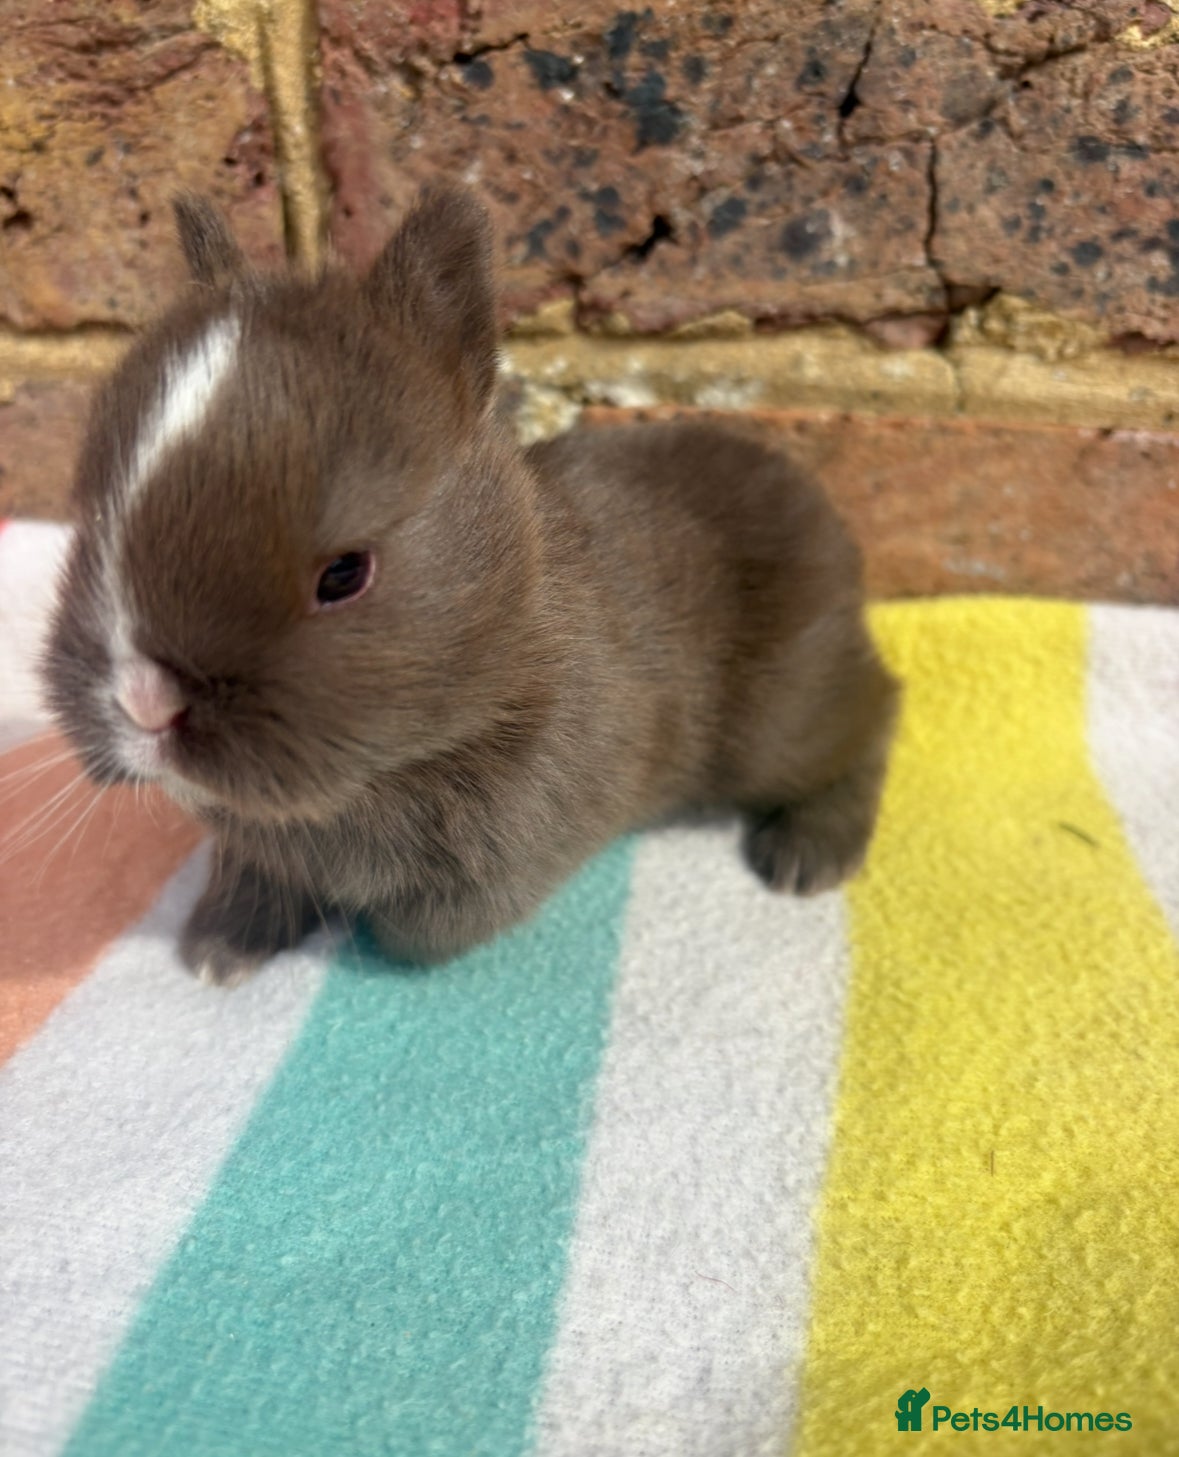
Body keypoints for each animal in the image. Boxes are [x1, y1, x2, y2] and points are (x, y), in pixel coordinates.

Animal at [42, 185, 900, 986]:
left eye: (344, 573)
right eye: (89, 521)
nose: (145, 704)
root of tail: (815, 504)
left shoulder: (500, 862)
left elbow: (414, 934)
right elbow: (257, 875)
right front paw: (218, 950)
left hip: (787, 718)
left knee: (876, 715)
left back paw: (807, 857)